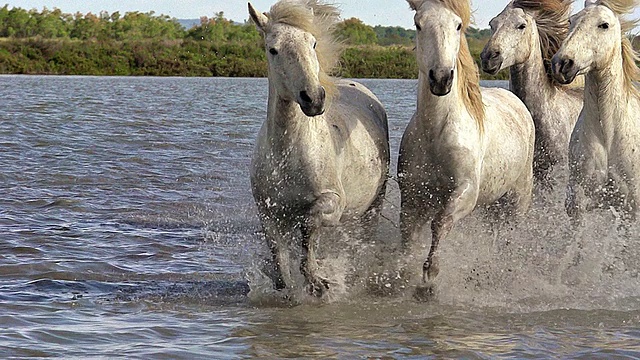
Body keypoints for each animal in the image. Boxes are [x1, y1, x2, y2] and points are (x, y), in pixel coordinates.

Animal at [250, 0, 390, 298]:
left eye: (312, 43)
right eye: (273, 49)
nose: (313, 99)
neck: (288, 156)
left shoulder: (332, 202)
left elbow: (308, 226)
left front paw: (317, 282)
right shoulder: (268, 213)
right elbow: (279, 259)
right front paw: (288, 287)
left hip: (372, 208)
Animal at [400, 0, 536, 294]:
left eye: (458, 25)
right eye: (418, 24)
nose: (441, 78)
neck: (436, 134)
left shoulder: (466, 191)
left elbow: (440, 222)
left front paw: (430, 275)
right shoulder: (413, 197)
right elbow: (407, 237)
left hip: (518, 199)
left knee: (511, 236)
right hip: (492, 204)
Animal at [552, 0, 640, 224]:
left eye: (604, 25)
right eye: (571, 21)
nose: (561, 64)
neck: (608, 134)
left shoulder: (631, 209)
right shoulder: (578, 203)